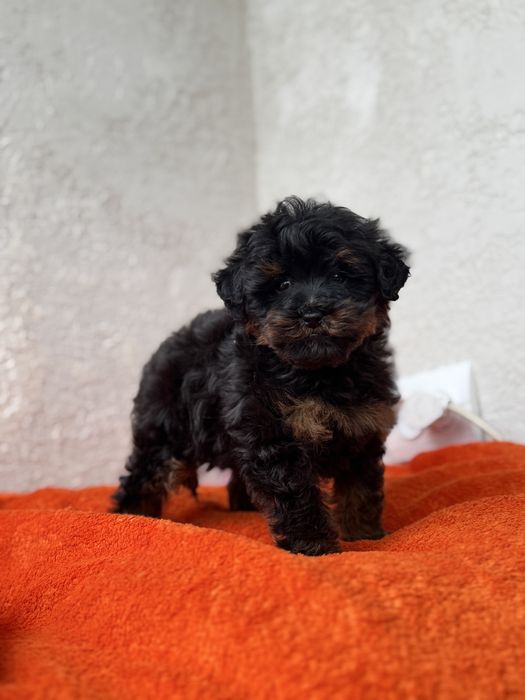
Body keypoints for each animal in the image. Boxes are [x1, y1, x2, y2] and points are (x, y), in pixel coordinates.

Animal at [112, 196, 410, 555]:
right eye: (282, 284)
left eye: (340, 276)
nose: (312, 313)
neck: (320, 373)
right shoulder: (274, 433)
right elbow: (296, 496)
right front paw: (313, 546)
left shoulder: (361, 428)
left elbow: (361, 487)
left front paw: (364, 534)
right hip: (166, 431)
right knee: (146, 474)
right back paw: (133, 516)